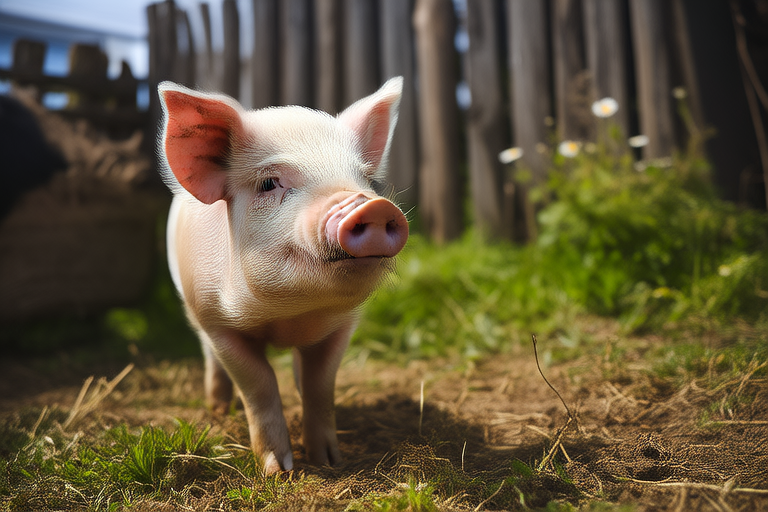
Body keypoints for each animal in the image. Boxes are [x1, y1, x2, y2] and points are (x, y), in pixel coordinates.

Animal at [157, 77, 408, 474]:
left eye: (366, 179)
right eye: (269, 183)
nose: (374, 206)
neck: (287, 315)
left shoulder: (342, 326)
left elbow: (321, 384)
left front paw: (329, 462)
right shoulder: (216, 322)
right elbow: (259, 384)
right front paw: (279, 470)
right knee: (211, 359)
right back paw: (218, 409)